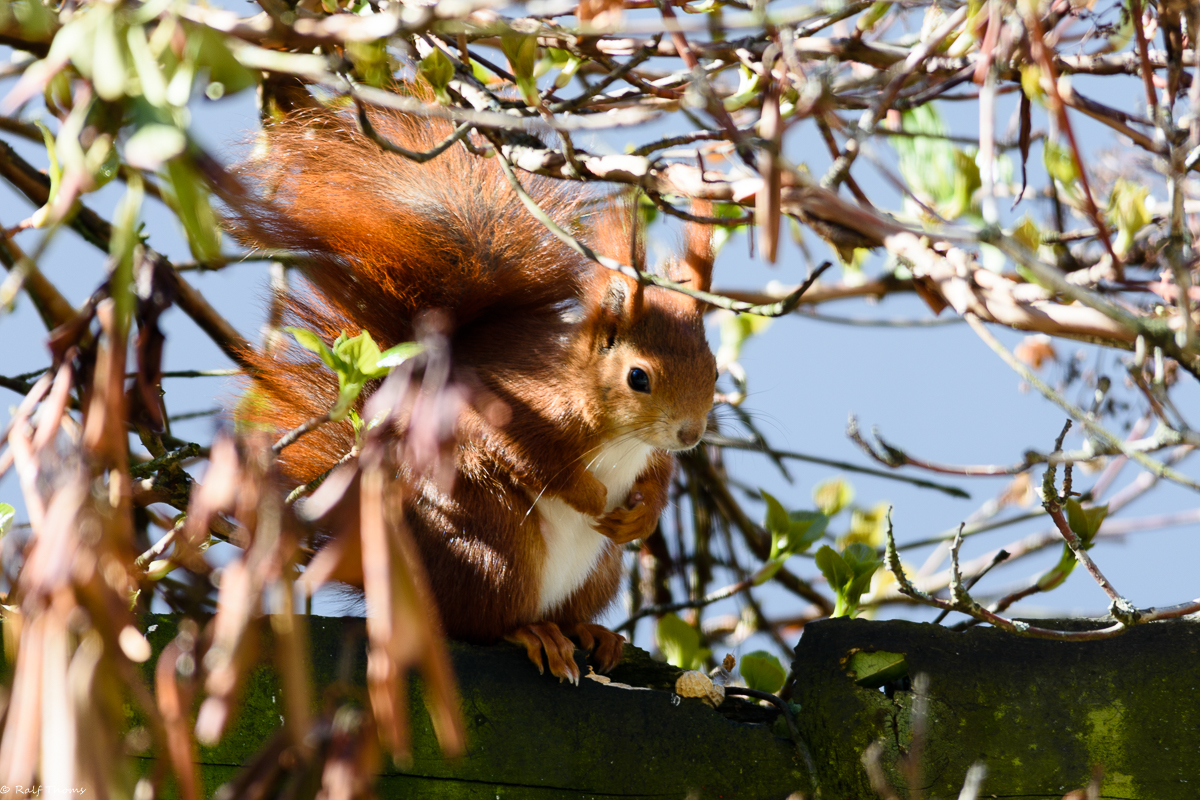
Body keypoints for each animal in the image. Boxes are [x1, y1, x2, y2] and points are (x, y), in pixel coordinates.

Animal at [226, 107, 710, 681]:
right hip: (491, 548)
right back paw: (534, 632)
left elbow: (659, 476)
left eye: (712, 369)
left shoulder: (651, 453)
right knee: (478, 624)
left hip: (596, 571)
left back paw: (590, 631)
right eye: (638, 377)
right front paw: (591, 496)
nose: (691, 433)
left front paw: (641, 515)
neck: (620, 436)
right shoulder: (522, 408)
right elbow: (533, 460)